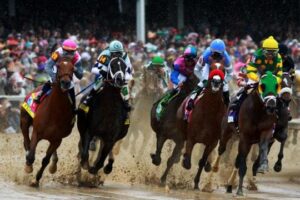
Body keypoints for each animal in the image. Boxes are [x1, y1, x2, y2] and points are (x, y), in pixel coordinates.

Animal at [20, 57, 75, 187]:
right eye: (58, 66)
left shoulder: (57, 139)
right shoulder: (36, 132)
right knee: (26, 142)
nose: (66, 83)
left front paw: (36, 180)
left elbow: (45, 159)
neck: (55, 112)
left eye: (73, 68)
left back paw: (53, 165)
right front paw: (28, 168)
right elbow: (31, 156)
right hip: (24, 121)